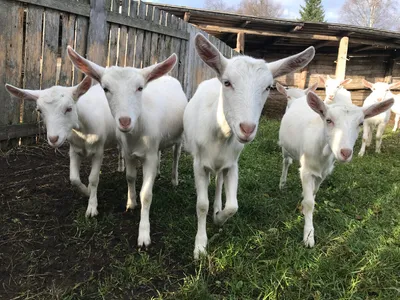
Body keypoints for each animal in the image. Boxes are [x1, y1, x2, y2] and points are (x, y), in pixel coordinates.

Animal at [5, 78, 122, 217]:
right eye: (39, 110)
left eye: (69, 108)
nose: (53, 139)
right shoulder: (74, 150)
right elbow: (74, 179)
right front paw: (86, 191)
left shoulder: (98, 151)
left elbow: (93, 178)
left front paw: (92, 208)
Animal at [67, 47, 188, 247]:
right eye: (106, 88)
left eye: (140, 88)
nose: (125, 121)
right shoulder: (129, 152)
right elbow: (130, 177)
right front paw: (131, 203)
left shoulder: (149, 156)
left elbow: (146, 194)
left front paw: (144, 235)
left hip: (179, 136)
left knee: (176, 155)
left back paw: (174, 179)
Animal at [184, 32, 316, 258]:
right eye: (227, 82)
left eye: (268, 87)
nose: (246, 128)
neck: (220, 134)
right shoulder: (199, 163)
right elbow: (201, 205)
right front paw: (200, 246)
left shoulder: (232, 164)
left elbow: (233, 206)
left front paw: (219, 218)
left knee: (219, 182)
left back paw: (217, 207)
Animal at [280, 91, 392, 246]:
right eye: (328, 120)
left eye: (361, 123)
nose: (345, 152)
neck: (323, 151)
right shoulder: (306, 171)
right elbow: (309, 203)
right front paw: (308, 236)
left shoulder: (323, 172)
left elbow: (313, 194)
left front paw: (305, 207)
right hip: (285, 148)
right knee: (286, 162)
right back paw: (282, 183)